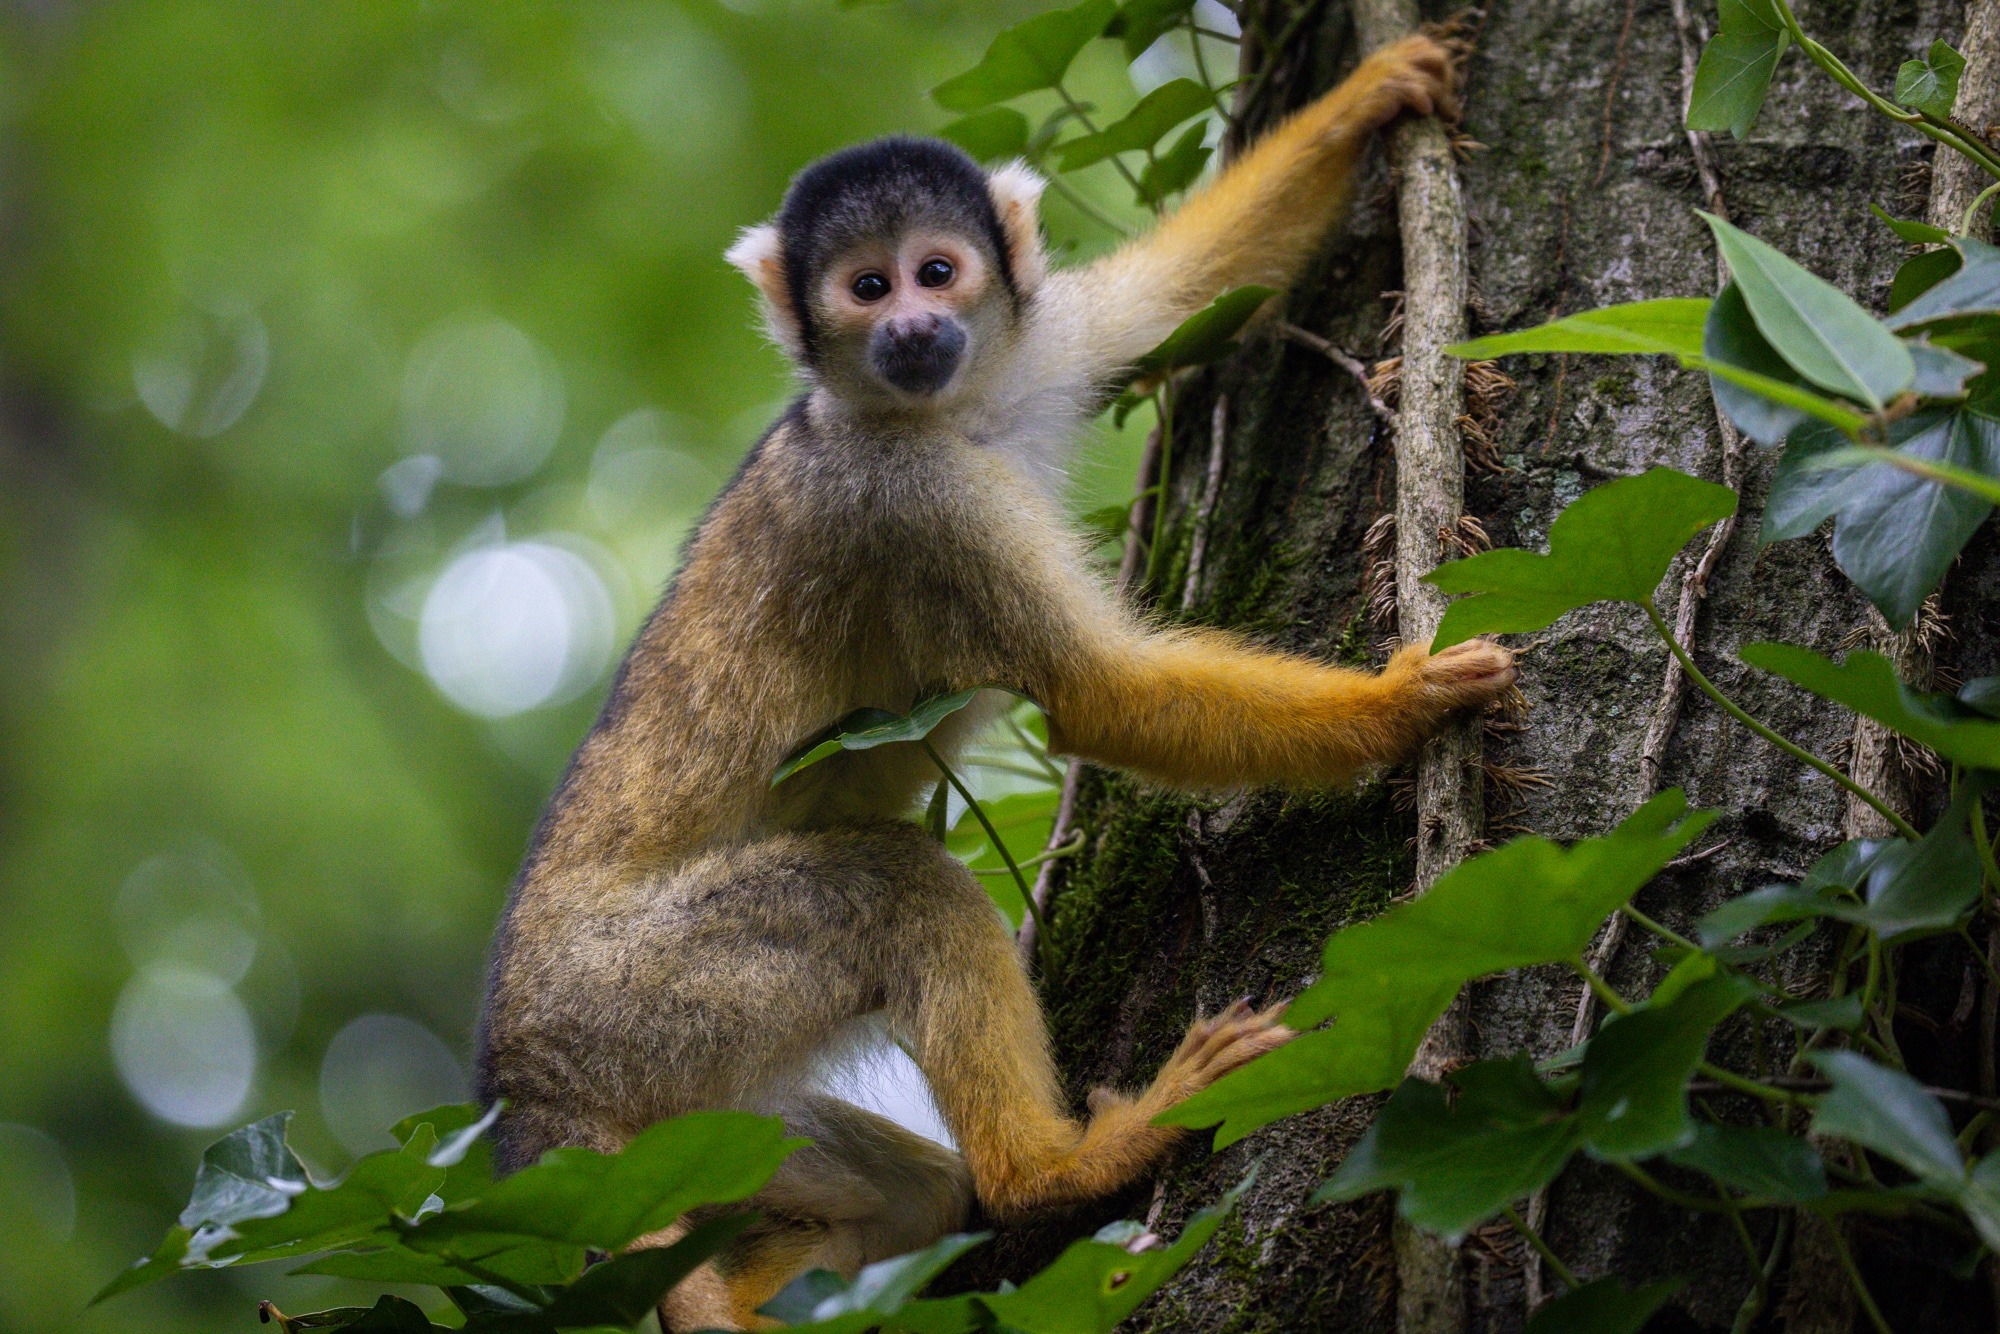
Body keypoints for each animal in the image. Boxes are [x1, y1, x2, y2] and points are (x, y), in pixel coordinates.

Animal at [480, 34, 1512, 1334]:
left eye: (935, 270)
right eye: (864, 288)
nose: (914, 326)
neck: (943, 412)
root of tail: (521, 1086)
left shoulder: (1036, 345)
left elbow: (1164, 294)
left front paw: (1373, 91)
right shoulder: (907, 505)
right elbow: (1095, 692)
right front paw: (1404, 699)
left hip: (694, 1123)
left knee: (893, 1190)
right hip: (639, 998)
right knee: (890, 881)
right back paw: (1053, 1167)